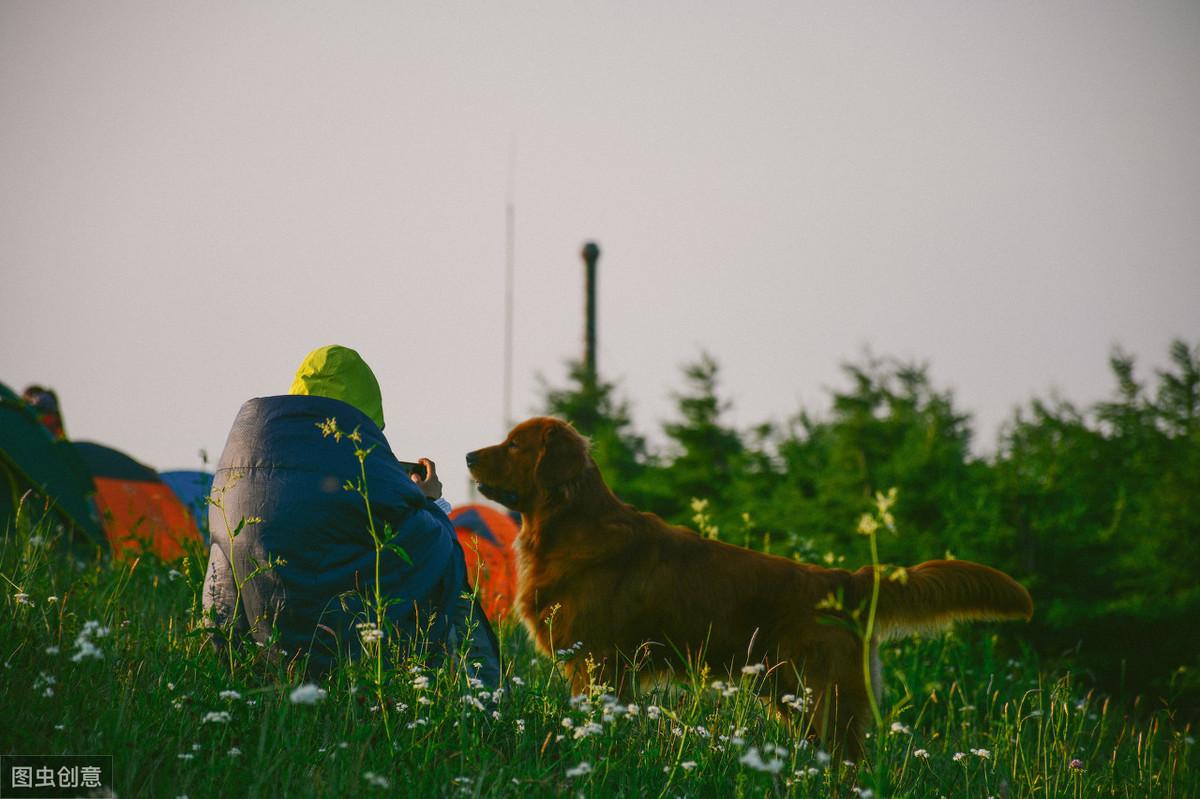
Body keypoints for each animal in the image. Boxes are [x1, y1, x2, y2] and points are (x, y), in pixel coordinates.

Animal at [465, 417, 1032, 753]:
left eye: (514, 445)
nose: (469, 456)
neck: (570, 525)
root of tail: (843, 580)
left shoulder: (597, 660)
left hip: (819, 696)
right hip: (795, 699)